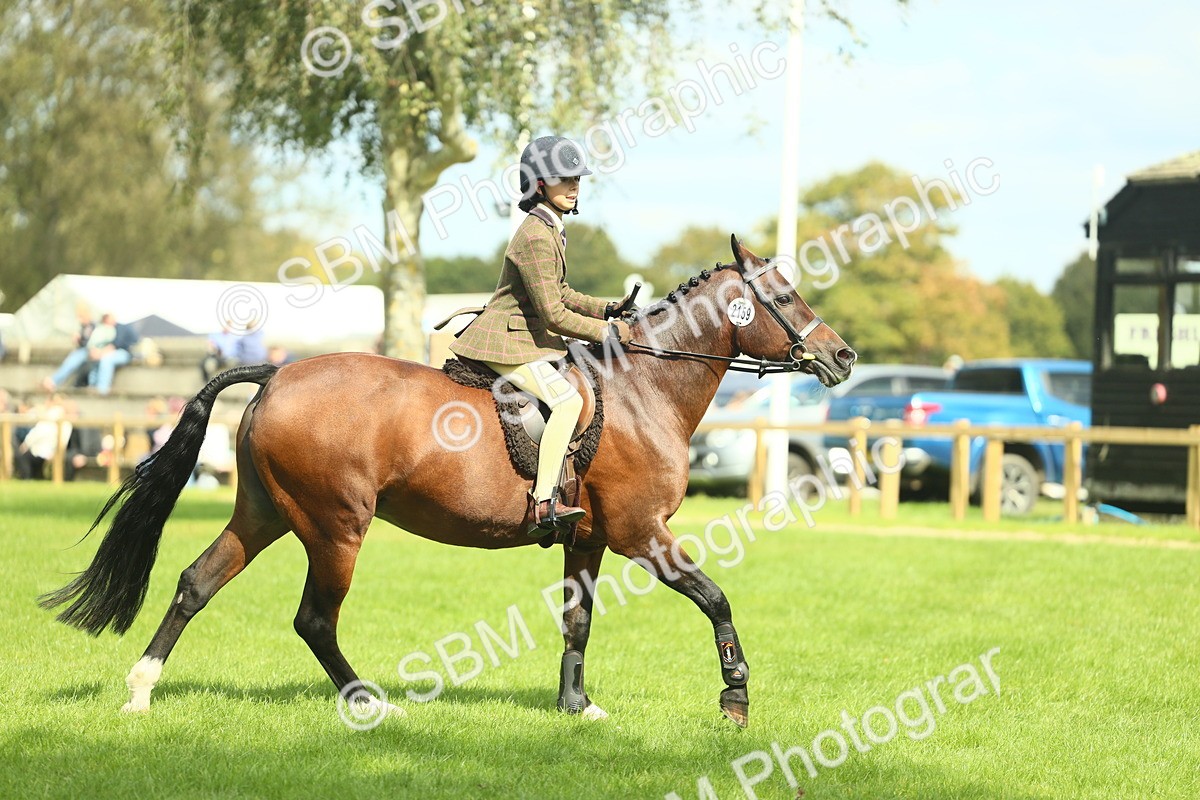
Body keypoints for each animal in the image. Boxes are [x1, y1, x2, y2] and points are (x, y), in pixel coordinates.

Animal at [40, 236, 855, 728]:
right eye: (785, 296)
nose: (843, 357)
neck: (643, 390)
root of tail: (276, 373)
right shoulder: (640, 534)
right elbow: (716, 599)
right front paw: (735, 698)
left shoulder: (589, 539)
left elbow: (578, 621)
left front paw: (576, 705)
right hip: (335, 526)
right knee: (313, 620)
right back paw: (370, 703)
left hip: (266, 513)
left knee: (196, 581)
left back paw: (141, 691)